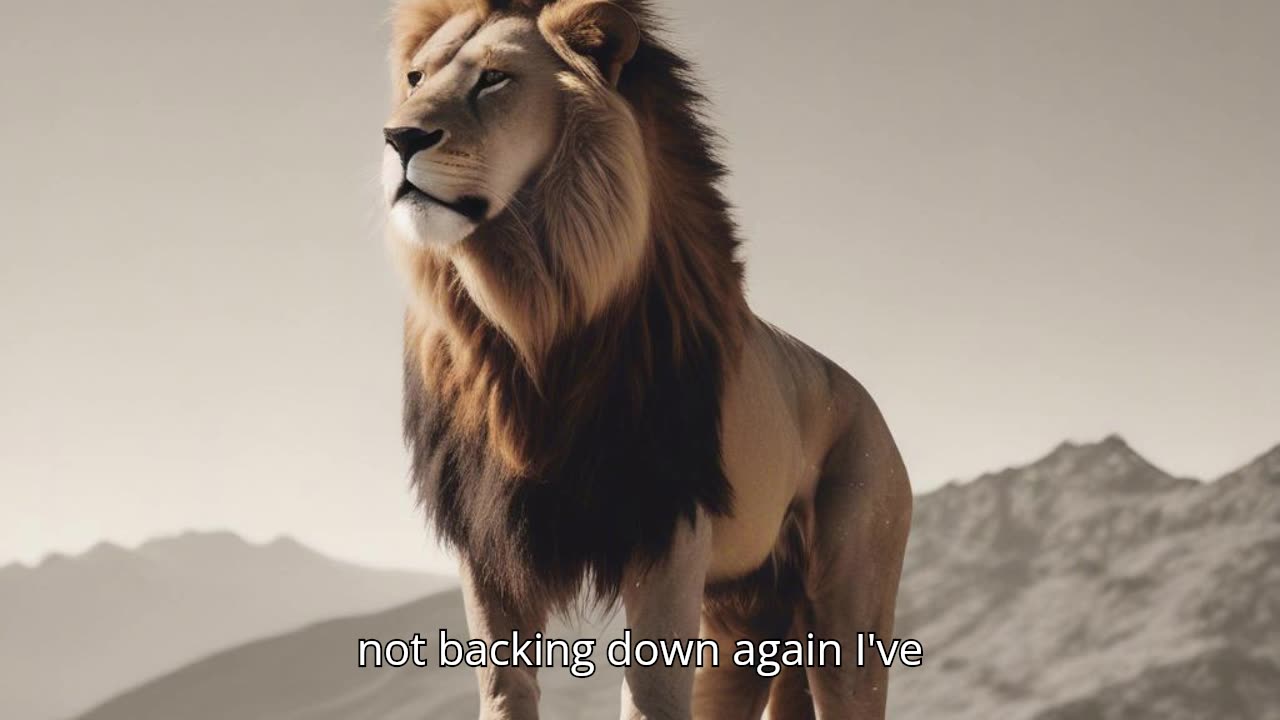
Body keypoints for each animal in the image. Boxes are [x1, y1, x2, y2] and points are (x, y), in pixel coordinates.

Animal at [381, 1, 913, 718]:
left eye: (493, 79)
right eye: (415, 77)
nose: (399, 138)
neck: (528, 322)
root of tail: (865, 397)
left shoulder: (668, 524)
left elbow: (653, 693)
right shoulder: (488, 539)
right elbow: (504, 688)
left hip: (848, 599)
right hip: (743, 616)